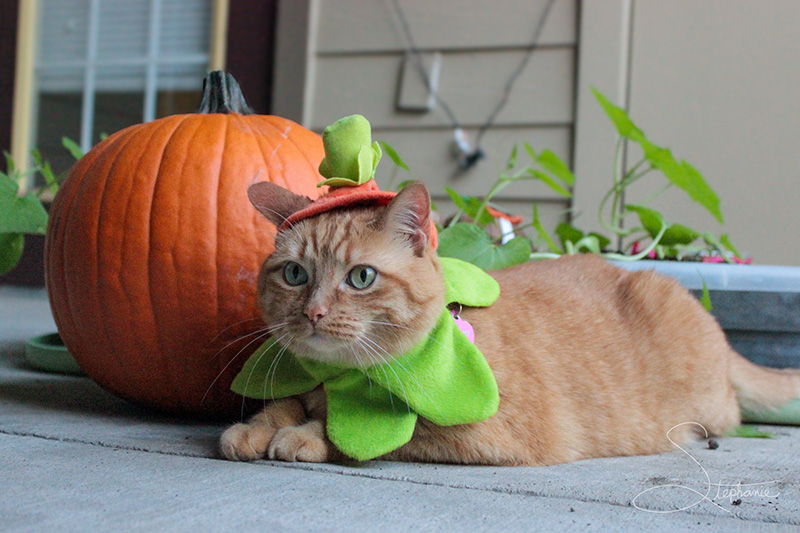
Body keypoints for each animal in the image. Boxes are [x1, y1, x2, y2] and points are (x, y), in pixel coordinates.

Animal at [219, 181, 800, 464]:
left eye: (361, 277)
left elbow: (372, 433)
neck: (341, 380)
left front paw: (303, 436)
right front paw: (258, 426)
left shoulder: (483, 433)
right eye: (295, 274)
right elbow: (287, 404)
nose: (313, 312)